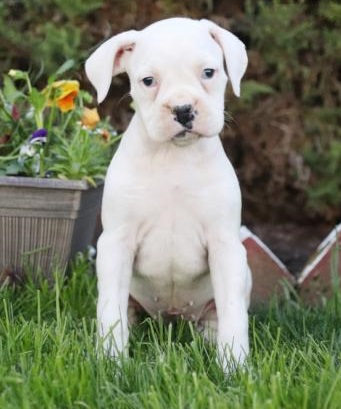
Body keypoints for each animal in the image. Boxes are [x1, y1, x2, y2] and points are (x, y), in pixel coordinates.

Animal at [85, 16, 250, 370]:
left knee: (218, 314)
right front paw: (112, 363)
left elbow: (233, 311)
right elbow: (110, 310)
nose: (183, 109)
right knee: (124, 309)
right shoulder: (116, 243)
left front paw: (235, 366)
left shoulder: (225, 246)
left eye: (209, 72)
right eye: (148, 81)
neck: (174, 156)